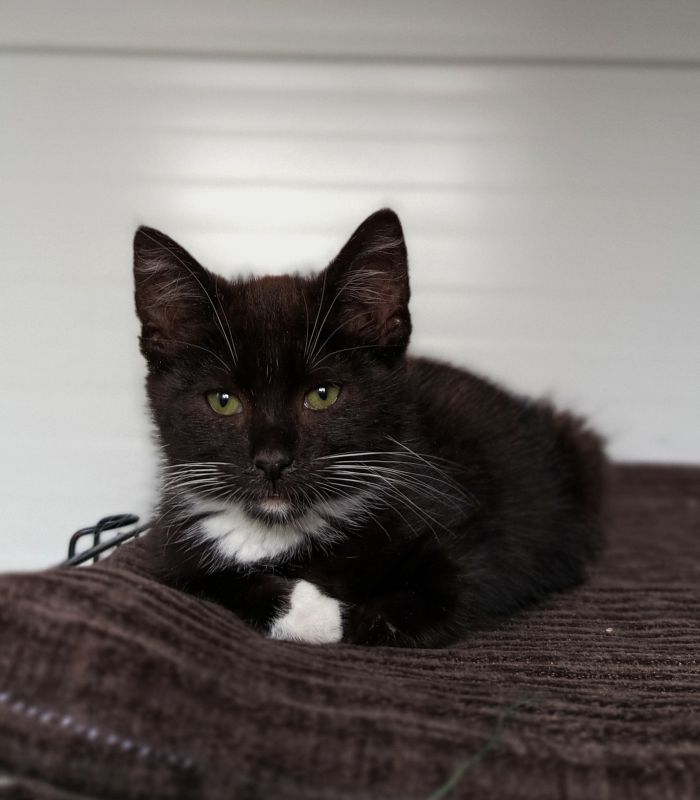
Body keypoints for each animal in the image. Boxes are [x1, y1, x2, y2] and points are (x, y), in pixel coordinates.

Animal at [133, 209, 605, 648]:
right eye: (223, 400)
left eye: (323, 394)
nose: (272, 461)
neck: (281, 531)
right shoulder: (163, 550)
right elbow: (195, 580)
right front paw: (312, 614)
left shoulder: (472, 521)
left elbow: (463, 575)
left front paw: (363, 617)